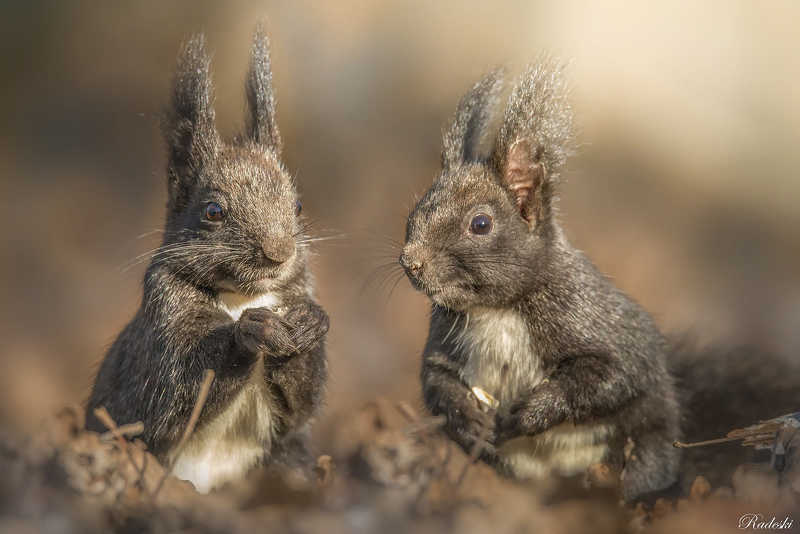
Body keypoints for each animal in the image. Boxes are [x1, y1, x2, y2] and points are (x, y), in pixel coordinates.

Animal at [85, 28, 329, 494]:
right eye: (214, 212)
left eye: (299, 205)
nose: (279, 252)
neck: (242, 297)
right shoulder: (162, 324)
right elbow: (174, 392)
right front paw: (251, 332)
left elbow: (300, 409)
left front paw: (310, 323)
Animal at [400, 60, 797, 501]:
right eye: (416, 209)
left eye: (480, 224)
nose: (410, 261)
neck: (496, 310)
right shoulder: (445, 340)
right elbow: (435, 381)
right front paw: (467, 422)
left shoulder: (589, 317)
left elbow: (616, 373)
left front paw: (532, 412)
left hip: (646, 446)